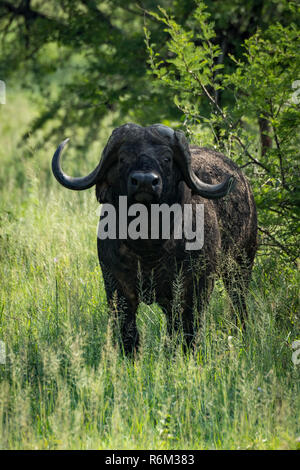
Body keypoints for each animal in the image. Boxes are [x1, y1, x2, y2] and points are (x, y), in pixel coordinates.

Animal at [52, 123, 258, 354]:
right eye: (123, 157)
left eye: (167, 158)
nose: (144, 182)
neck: (148, 244)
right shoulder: (116, 287)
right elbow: (128, 332)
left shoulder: (195, 287)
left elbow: (188, 329)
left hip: (241, 265)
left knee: (237, 303)